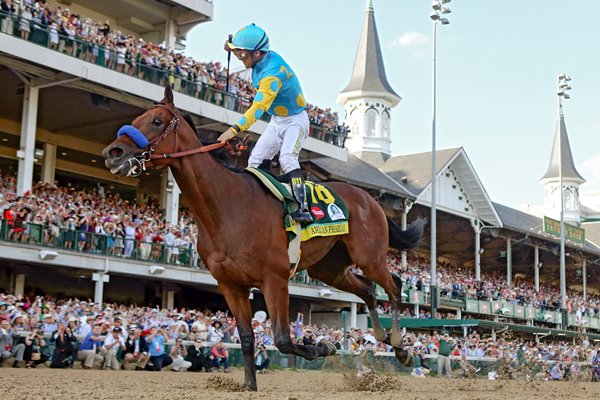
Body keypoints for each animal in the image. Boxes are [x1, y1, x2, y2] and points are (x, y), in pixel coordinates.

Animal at [103, 86, 422, 390]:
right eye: (137, 119)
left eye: (156, 121)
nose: (113, 152)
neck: (226, 207)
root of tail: (369, 198)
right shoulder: (231, 285)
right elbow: (246, 337)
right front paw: (249, 384)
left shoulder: (275, 279)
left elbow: (282, 339)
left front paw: (325, 346)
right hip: (329, 269)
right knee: (368, 289)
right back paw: (387, 340)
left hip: (368, 256)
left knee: (393, 285)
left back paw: (399, 345)